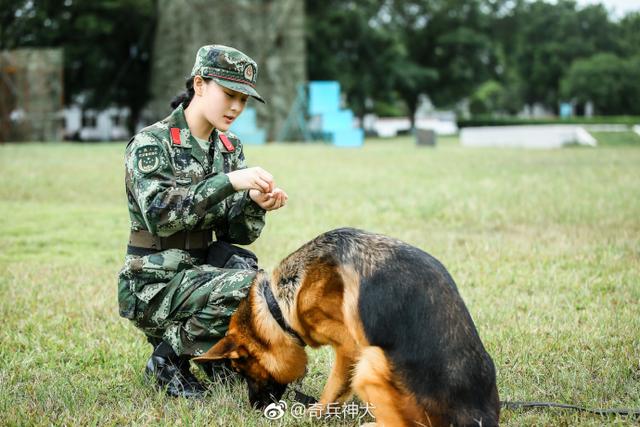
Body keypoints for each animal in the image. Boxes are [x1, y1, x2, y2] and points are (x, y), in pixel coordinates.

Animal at [195, 229, 500, 426]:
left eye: (240, 369)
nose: (256, 409)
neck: (277, 305)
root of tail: (479, 416)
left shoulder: (350, 348)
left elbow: (334, 388)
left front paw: (312, 415)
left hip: (371, 362)